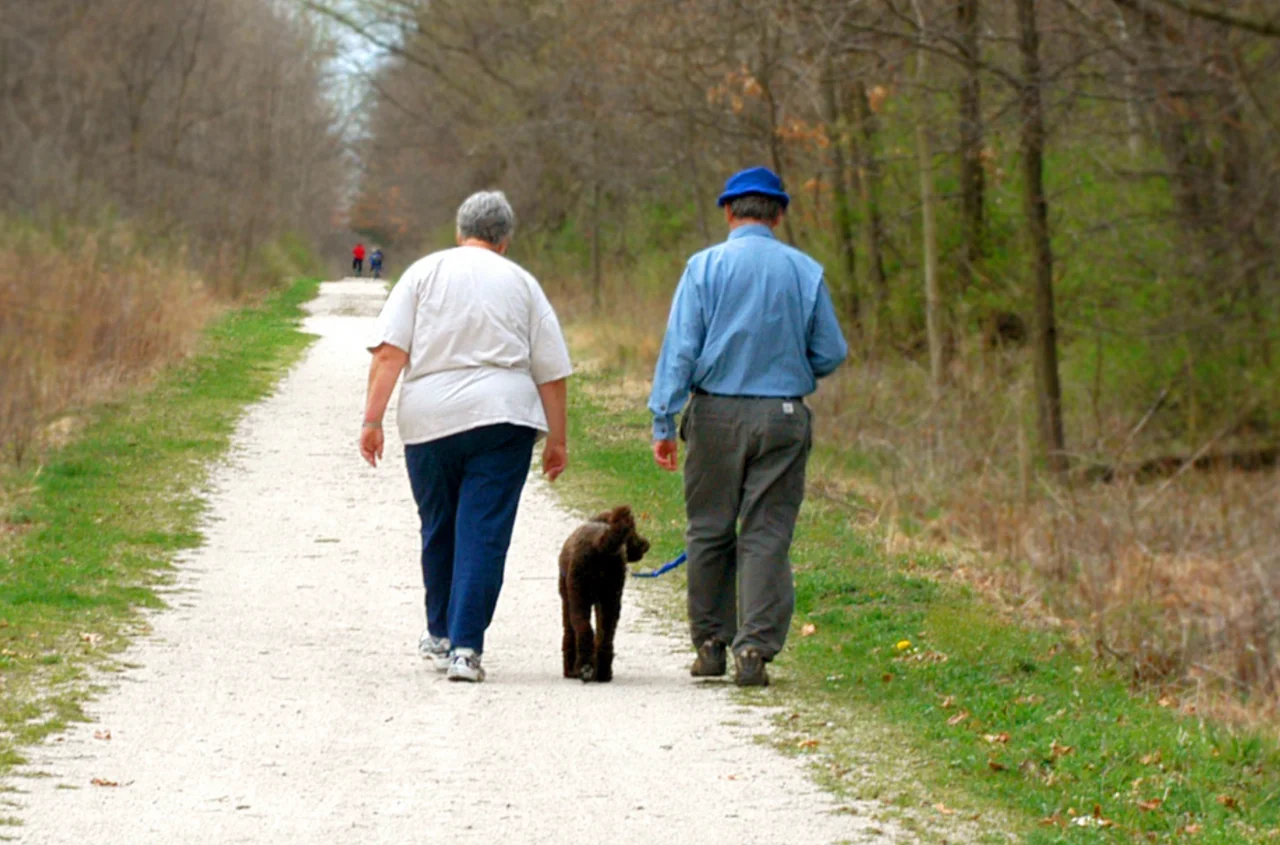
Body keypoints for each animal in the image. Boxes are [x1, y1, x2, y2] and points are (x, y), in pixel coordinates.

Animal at [558, 504, 650, 681]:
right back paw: (603, 673)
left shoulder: (567, 600)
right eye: (632, 531)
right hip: (611, 596)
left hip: (579, 596)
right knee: (606, 635)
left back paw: (583, 668)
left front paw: (568, 670)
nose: (646, 545)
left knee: (584, 630)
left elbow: (569, 633)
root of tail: (599, 543)